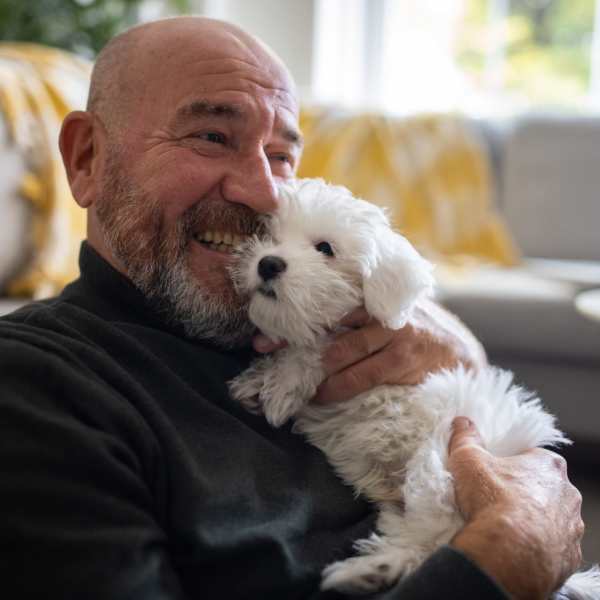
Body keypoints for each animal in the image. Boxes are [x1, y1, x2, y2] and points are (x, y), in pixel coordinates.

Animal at [229, 177, 596, 596]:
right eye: (268, 236)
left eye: (325, 248)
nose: (268, 263)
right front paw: (257, 382)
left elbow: (318, 347)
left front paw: (279, 382)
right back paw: (371, 569)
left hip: (437, 466)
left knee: (436, 536)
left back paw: (370, 569)